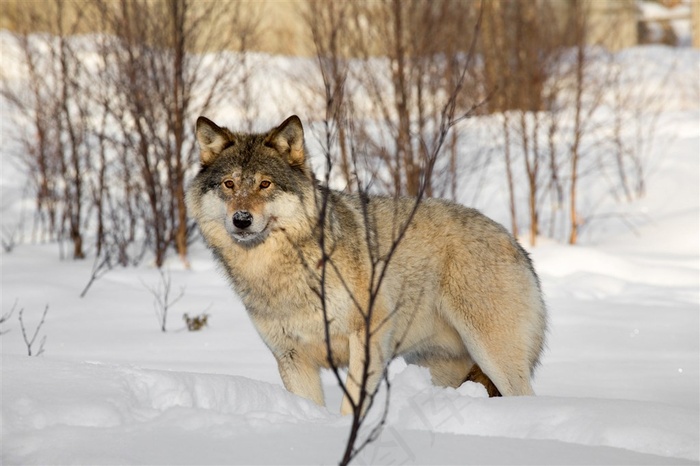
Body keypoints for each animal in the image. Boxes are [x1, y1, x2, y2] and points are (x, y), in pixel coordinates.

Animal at [186, 115, 548, 416]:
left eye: (265, 184)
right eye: (229, 184)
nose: (242, 219)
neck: (281, 272)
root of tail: (516, 244)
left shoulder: (366, 340)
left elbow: (351, 407)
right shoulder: (292, 358)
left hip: (495, 360)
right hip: (438, 369)